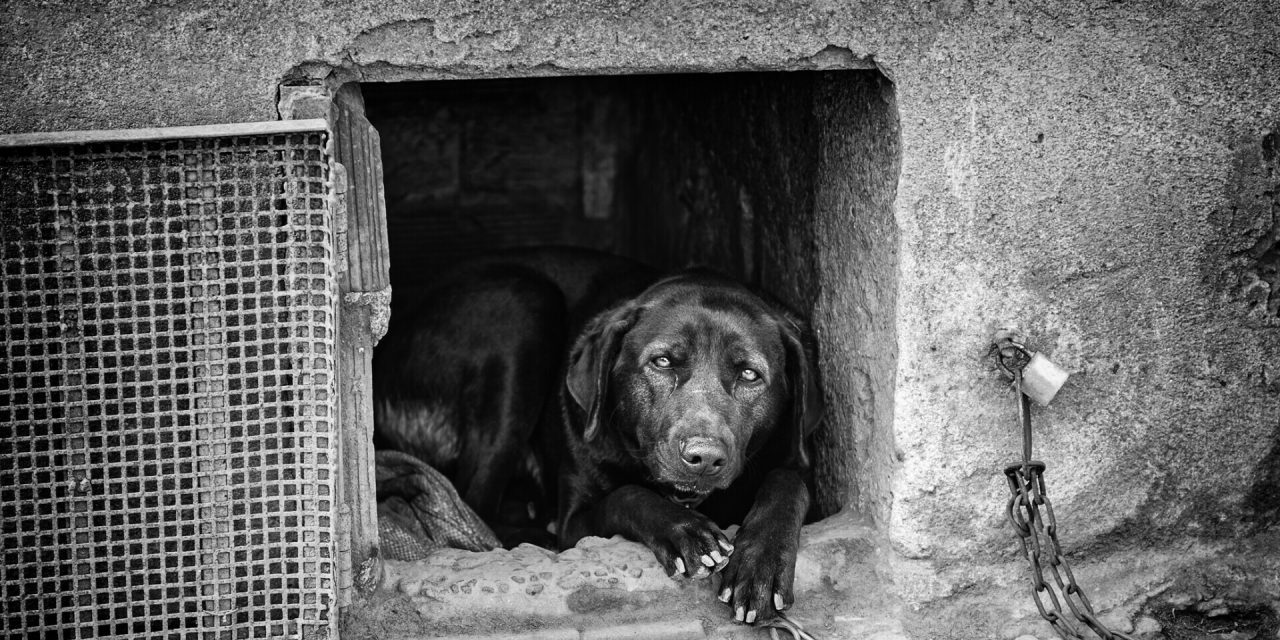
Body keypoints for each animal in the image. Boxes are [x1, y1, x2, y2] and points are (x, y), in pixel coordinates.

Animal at [373, 245, 824, 624]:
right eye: (662, 361)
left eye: (749, 374)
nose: (704, 458)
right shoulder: (577, 520)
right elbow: (626, 495)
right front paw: (685, 531)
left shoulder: (788, 460)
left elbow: (788, 482)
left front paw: (760, 565)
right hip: (522, 305)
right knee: (472, 502)